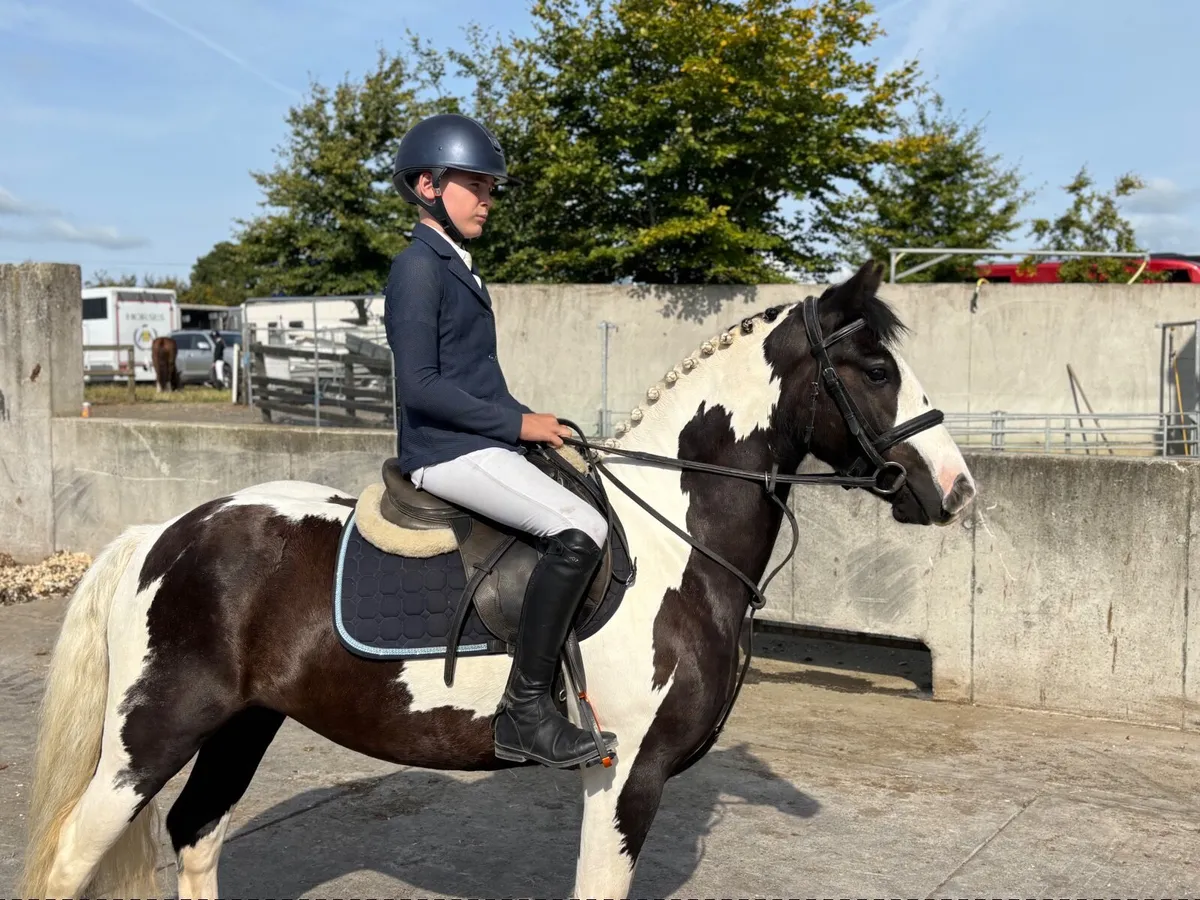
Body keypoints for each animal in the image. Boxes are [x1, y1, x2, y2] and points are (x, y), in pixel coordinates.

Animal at [20, 261, 976, 899]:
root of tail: (163, 535)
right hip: (150, 736)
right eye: (878, 371)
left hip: (241, 724)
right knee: (74, 859)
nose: (958, 490)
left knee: (196, 836)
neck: (676, 544)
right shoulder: (625, 777)